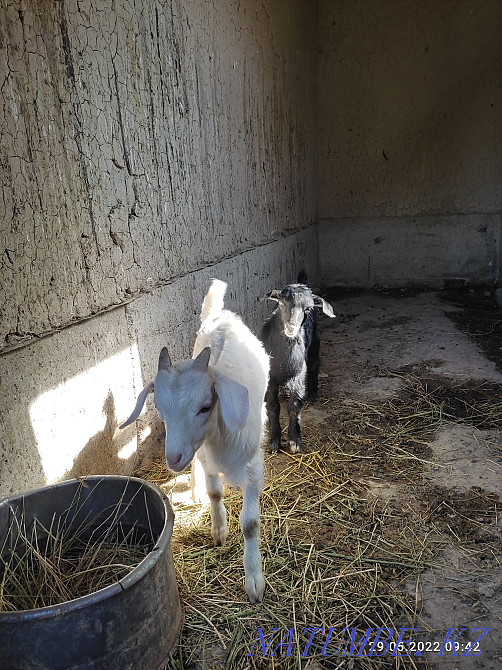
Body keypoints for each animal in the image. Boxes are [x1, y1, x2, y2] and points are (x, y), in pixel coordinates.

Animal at [120, 279, 269, 603]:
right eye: (159, 409)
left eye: (205, 406)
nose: (173, 458)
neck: (219, 436)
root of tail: (219, 314)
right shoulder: (204, 455)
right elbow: (215, 493)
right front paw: (218, 530)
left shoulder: (253, 468)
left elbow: (251, 524)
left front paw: (254, 581)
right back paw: (194, 489)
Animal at [260, 272, 335, 453]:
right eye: (281, 303)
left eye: (307, 308)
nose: (291, 327)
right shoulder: (270, 378)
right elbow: (273, 406)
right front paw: (274, 441)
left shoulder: (298, 375)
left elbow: (294, 405)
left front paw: (294, 441)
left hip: (314, 343)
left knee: (315, 365)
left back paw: (313, 393)